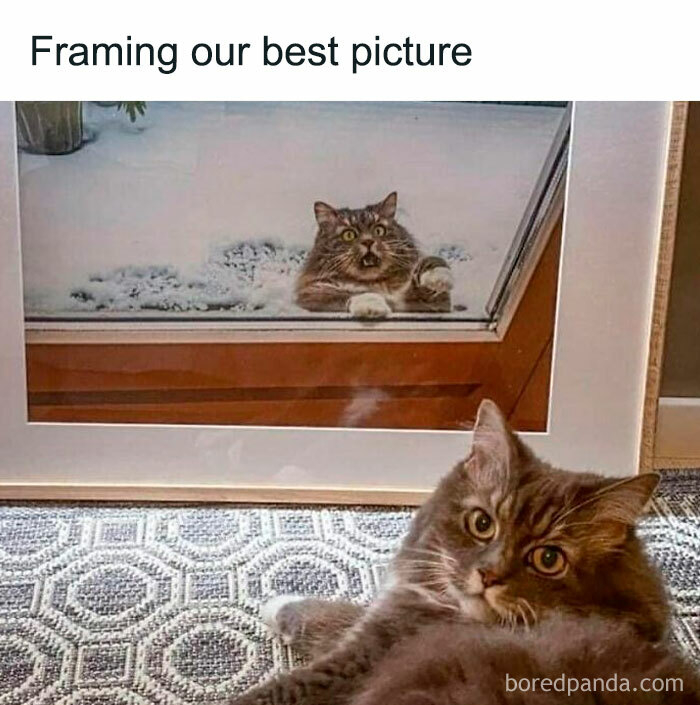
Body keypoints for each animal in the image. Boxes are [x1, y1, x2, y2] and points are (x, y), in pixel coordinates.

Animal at [226, 398, 700, 704]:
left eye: (548, 559)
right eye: (482, 524)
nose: (488, 575)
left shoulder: (363, 659)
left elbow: (285, 687)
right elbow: (339, 615)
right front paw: (279, 603)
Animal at [296, 190, 454, 316]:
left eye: (378, 230)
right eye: (348, 235)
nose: (368, 241)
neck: (376, 284)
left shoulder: (433, 303)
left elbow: (433, 261)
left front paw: (440, 278)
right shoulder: (313, 294)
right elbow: (351, 294)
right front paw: (373, 307)